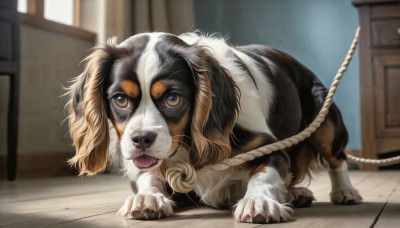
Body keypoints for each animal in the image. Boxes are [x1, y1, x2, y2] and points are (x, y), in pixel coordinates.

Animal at [66, 31, 362, 223]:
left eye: (173, 99)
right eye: (120, 99)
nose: (141, 139)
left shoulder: (271, 147)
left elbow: (264, 174)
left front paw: (258, 201)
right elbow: (148, 175)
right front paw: (147, 197)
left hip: (322, 111)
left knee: (337, 158)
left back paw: (343, 191)